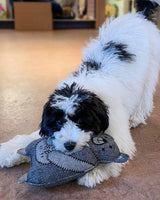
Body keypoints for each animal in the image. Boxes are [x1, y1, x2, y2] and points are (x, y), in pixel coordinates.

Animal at [0, 0, 160, 188]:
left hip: (150, 72)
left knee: (145, 97)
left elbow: (115, 152)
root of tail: (140, 15)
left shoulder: (117, 129)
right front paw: (8, 152)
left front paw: (94, 172)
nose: (69, 145)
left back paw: (136, 117)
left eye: (81, 121)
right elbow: (30, 138)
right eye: (59, 122)